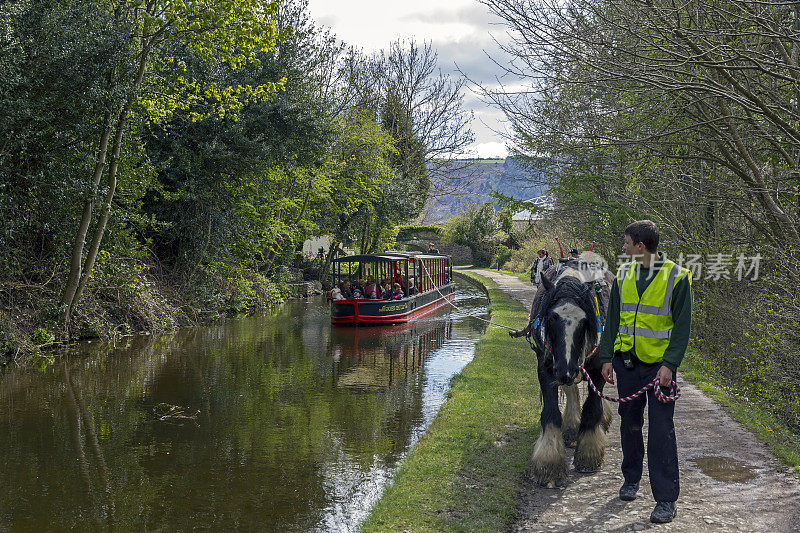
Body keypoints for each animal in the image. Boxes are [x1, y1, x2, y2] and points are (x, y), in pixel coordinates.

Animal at [512, 262, 612, 486]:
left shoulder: (598, 366)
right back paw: (572, 427)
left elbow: (593, 407)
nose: (565, 370)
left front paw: (589, 454)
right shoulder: (546, 367)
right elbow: (551, 413)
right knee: (571, 390)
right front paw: (549, 464)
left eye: (584, 321)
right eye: (551, 318)